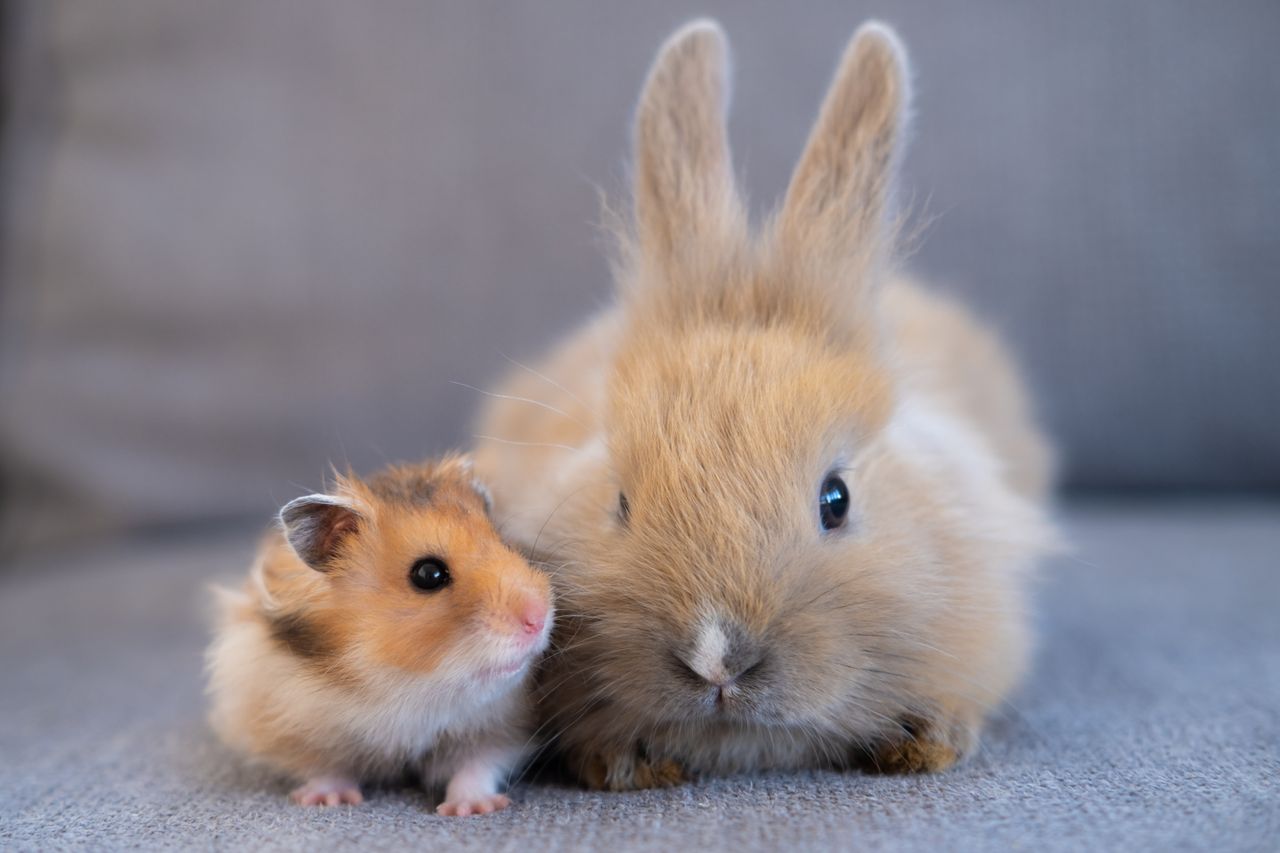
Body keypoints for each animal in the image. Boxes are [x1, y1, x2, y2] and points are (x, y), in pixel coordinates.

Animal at [204, 455, 550, 814]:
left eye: (504, 542)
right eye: (428, 574)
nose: (538, 618)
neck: (404, 682)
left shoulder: (495, 726)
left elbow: (476, 767)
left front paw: (473, 808)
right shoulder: (293, 723)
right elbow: (325, 768)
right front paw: (328, 800)